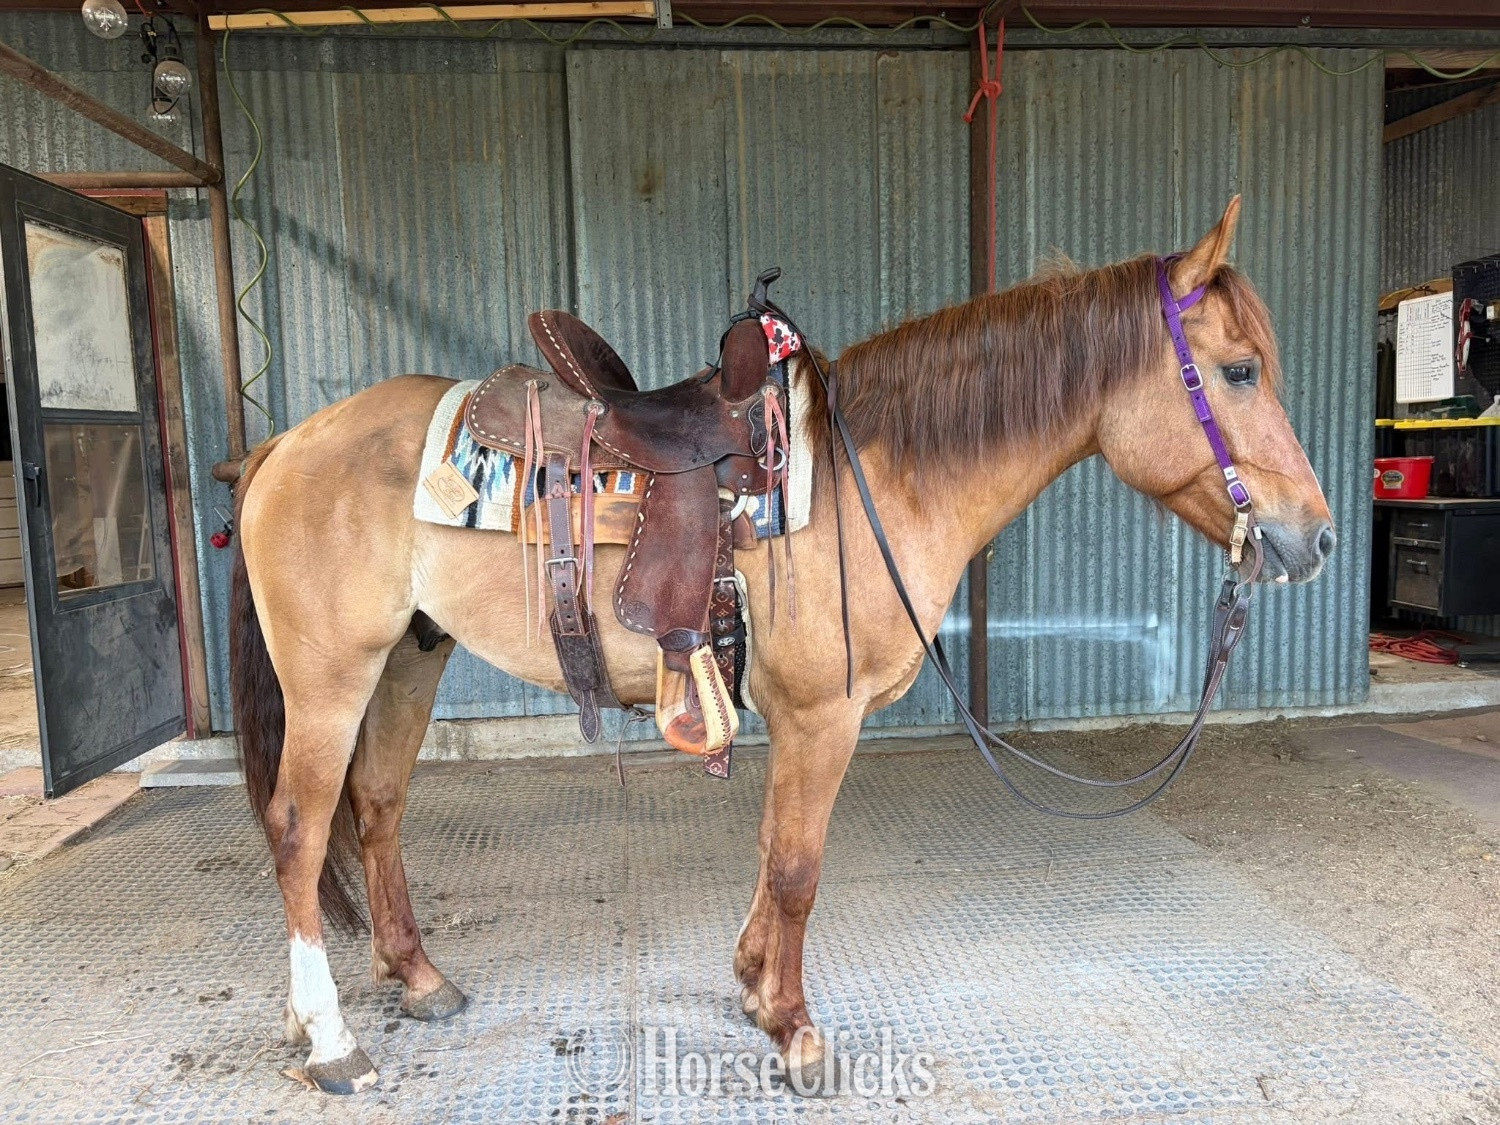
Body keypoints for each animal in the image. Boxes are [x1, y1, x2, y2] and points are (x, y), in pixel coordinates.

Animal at [229, 197, 1334, 1093]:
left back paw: (415, 978)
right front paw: (795, 1030)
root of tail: (286, 443)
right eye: (1239, 371)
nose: (1316, 539)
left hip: (408, 660)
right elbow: (800, 865)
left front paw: (755, 986)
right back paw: (330, 1040)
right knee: (298, 827)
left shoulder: (795, 718)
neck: (873, 478)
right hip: (331, 678)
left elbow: (772, 852)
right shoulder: (820, 714)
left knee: (375, 809)